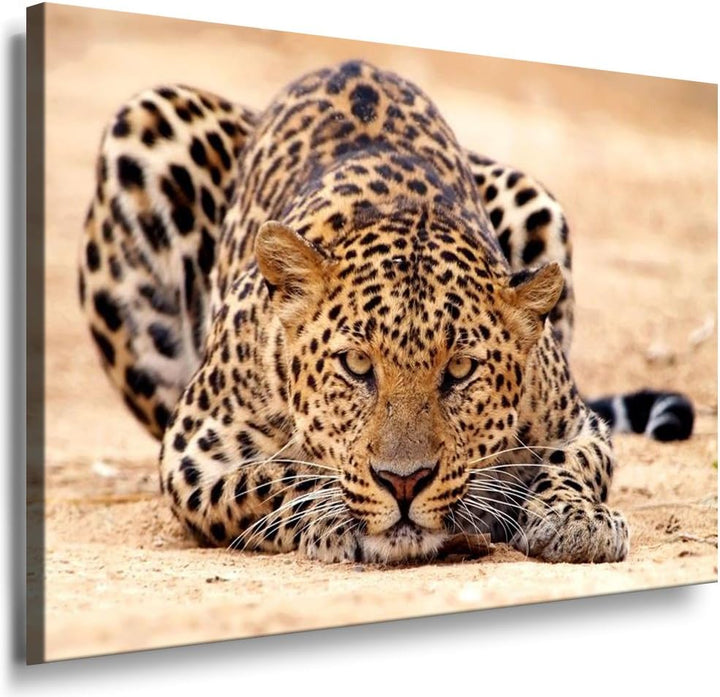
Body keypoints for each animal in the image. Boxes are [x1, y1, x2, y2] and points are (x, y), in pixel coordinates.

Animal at [79, 60, 695, 565]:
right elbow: (275, 477)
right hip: (148, 122)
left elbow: (574, 466)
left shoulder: (577, 424)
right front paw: (334, 514)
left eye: (460, 370)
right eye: (355, 365)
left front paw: (576, 518)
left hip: (532, 197)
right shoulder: (193, 453)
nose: (404, 482)